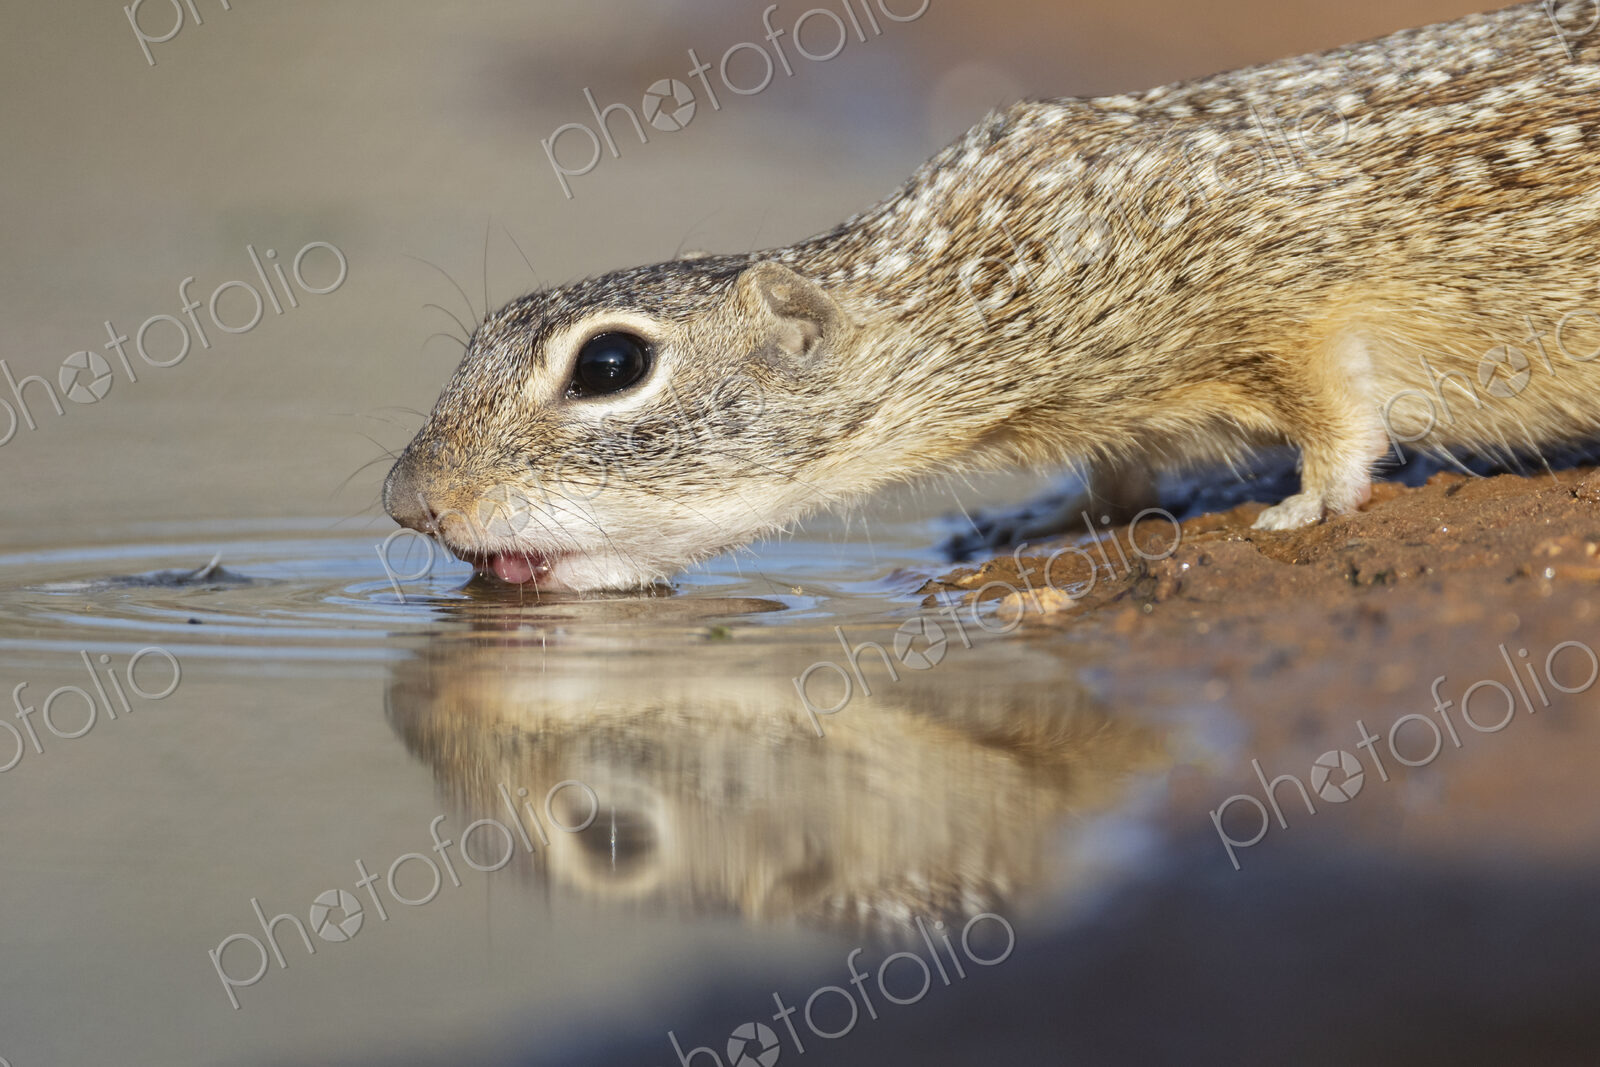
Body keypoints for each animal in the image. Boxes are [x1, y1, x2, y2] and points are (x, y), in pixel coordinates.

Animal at [385, 1, 1600, 591]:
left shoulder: (1278, 293)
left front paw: (1305, 501)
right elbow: (1121, 466)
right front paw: (1053, 512)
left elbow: (1336, 415)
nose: (407, 501)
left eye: (610, 365)